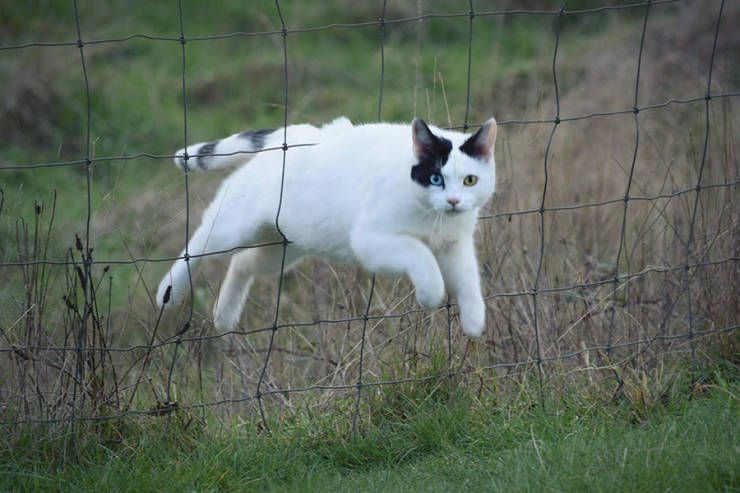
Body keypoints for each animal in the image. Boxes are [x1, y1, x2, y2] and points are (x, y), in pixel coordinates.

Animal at [159, 117, 500, 336]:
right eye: (435, 179)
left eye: (470, 180)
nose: (454, 201)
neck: (435, 219)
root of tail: (288, 134)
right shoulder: (371, 241)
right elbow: (421, 256)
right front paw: (431, 295)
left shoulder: (455, 245)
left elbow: (468, 280)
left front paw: (474, 321)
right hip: (233, 226)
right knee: (198, 246)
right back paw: (169, 292)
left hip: (283, 248)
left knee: (243, 262)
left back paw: (224, 316)